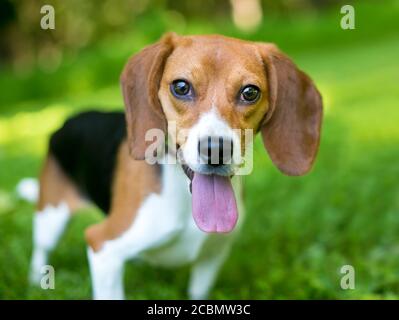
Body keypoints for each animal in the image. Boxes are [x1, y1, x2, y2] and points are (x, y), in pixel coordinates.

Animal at [28, 33, 324, 298]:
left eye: (250, 92)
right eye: (181, 87)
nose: (216, 150)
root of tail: (65, 121)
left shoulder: (213, 256)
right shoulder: (103, 246)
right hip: (51, 218)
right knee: (41, 249)